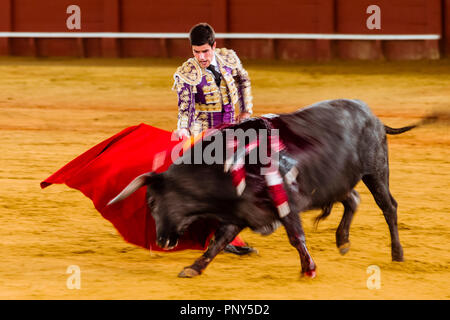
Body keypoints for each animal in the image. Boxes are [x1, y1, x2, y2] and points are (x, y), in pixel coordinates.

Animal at [107, 99, 430, 278]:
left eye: (151, 202)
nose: (161, 240)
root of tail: (373, 117)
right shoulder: (240, 212)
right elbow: (217, 242)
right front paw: (193, 269)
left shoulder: (285, 203)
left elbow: (295, 236)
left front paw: (308, 269)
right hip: (338, 180)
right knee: (352, 199)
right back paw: (343, 241)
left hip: (376, 171)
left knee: (387, 206)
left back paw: (397, 253)